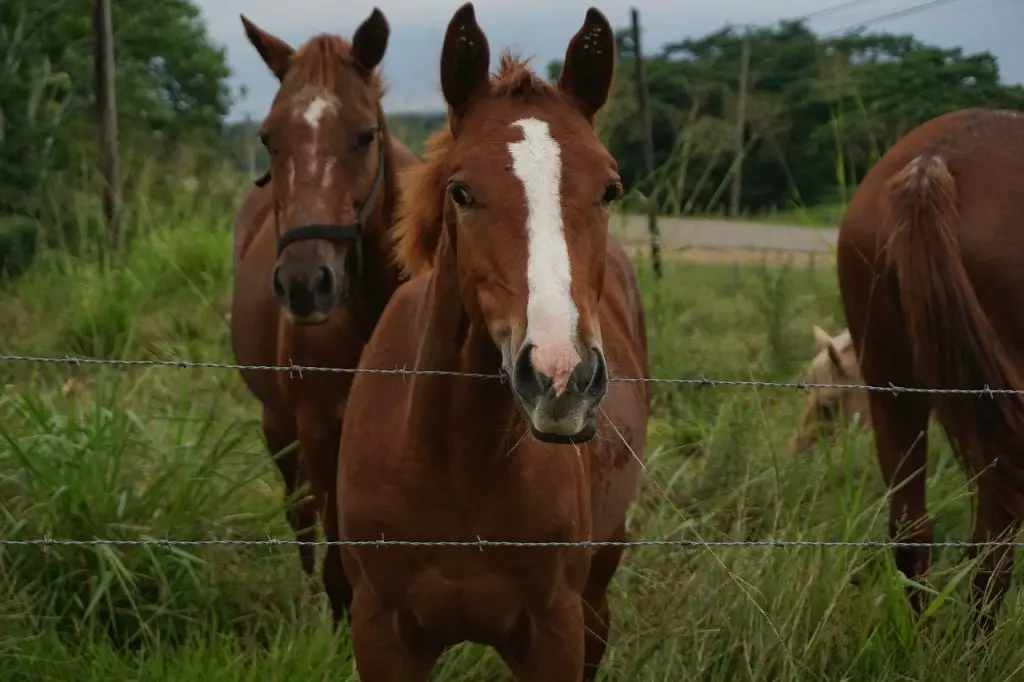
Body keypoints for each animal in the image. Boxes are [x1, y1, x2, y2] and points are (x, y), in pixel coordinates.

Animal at [232, 7, 419, 622]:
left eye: (365, 135)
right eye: (268, 138)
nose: (303, 285)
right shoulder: (317, 430)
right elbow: (339, 565)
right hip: (278, 424)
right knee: (302, 518)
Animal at [335, 3, 651, 675]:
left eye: (610, 188)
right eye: (460, 191)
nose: (562, 378)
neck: (457, 464)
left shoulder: (555, 634)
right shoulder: (381, 633)